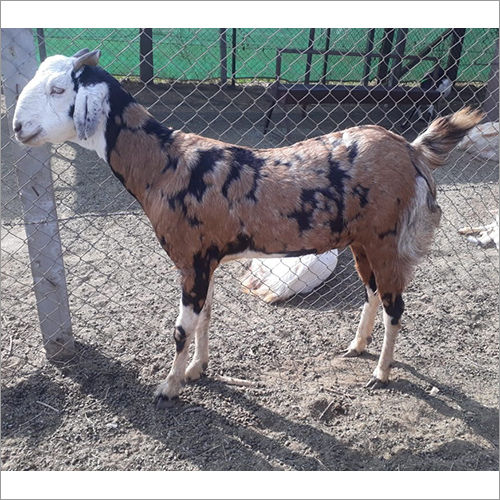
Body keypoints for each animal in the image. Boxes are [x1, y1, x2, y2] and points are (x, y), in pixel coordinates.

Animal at [12, 48, 484, 406]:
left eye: (59, 89)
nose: (18, 127)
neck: (164, 165)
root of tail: (412, 149)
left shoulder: (191, 258)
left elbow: (182, 328)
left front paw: (169, 386)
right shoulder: (207, 259)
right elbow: (205, 317)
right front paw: (198, 370)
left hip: (386, 237)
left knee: (395, 304)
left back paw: (382, 373)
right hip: (361, 240)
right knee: (372, 293)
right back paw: (357, 347)